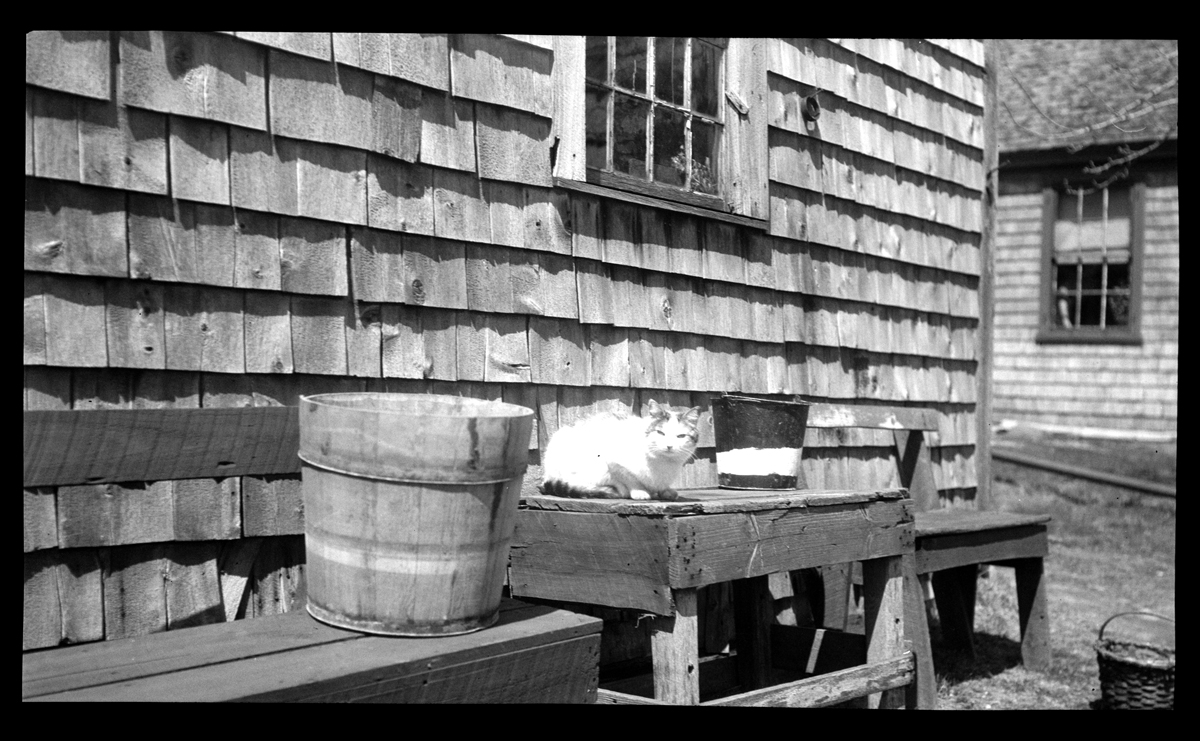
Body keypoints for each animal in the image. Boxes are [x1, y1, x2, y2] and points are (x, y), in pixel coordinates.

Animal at [537, 400, 700, 498]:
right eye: (660, 433)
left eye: (680, 436)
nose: (669, 445)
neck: (663, 463)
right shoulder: (612, 463)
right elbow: (629, 479)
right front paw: (640, 492)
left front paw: (665, 491)